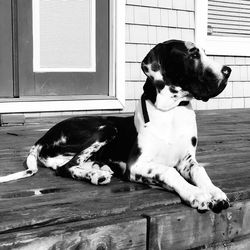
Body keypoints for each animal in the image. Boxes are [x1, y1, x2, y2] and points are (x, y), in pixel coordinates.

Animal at [0, 40, 231, 212]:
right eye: (192, 55)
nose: (228, 70)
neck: (172, 112)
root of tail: (43, 137)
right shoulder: (137, 165)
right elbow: (169, 172)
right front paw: (197, 194)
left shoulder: (188, 161)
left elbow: (201, 172)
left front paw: (215, 191)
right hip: (107, 128)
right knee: (66, 168)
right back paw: (95, 173)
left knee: (66, 165)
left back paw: (97, 171)